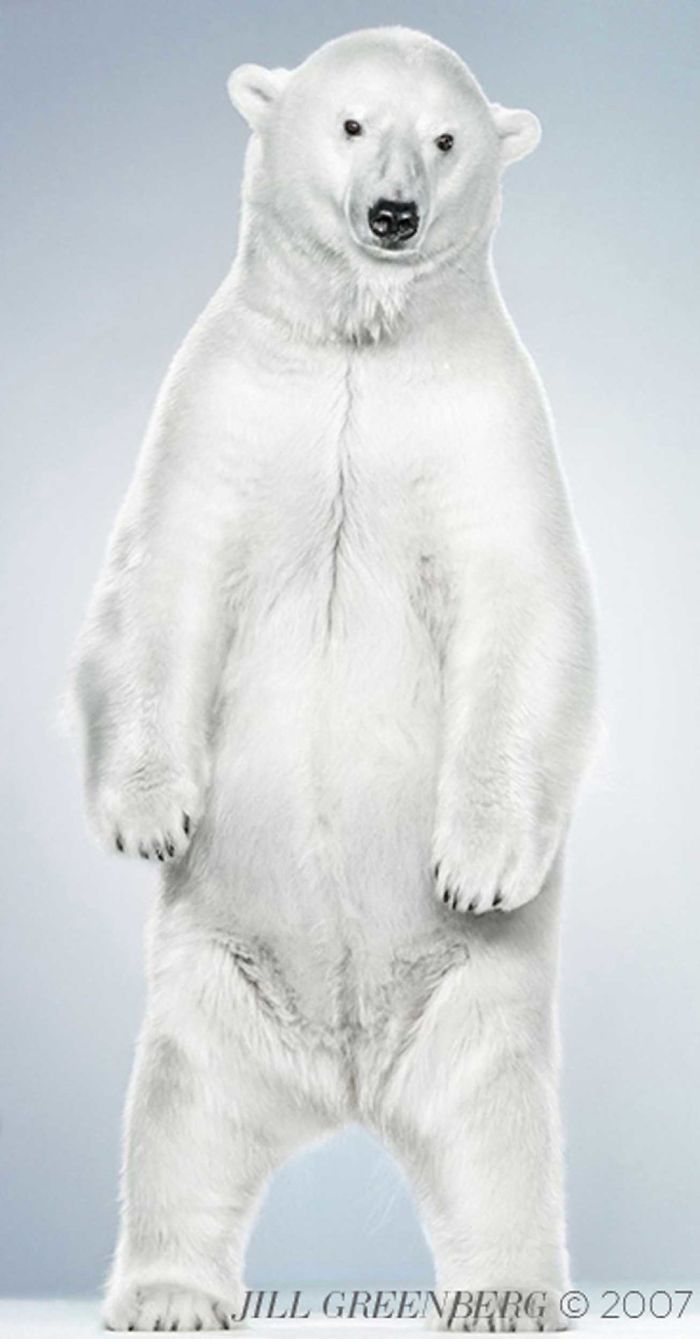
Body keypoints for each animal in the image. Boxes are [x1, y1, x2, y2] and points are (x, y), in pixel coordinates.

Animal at [69, 26, 597, 1334]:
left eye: (446, 137)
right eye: (353, 123)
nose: (393, 214)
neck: (361, 342)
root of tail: (346, 1077)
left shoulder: (484, 425)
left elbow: (524, 609)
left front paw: (478, 863)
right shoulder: (224, 404)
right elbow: (160, 578)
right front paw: (150, 818)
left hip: (478, 1008)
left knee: (497, 1139)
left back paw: (507, 1293)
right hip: (212, 985)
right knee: (182, 1122)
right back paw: (167, 1293)